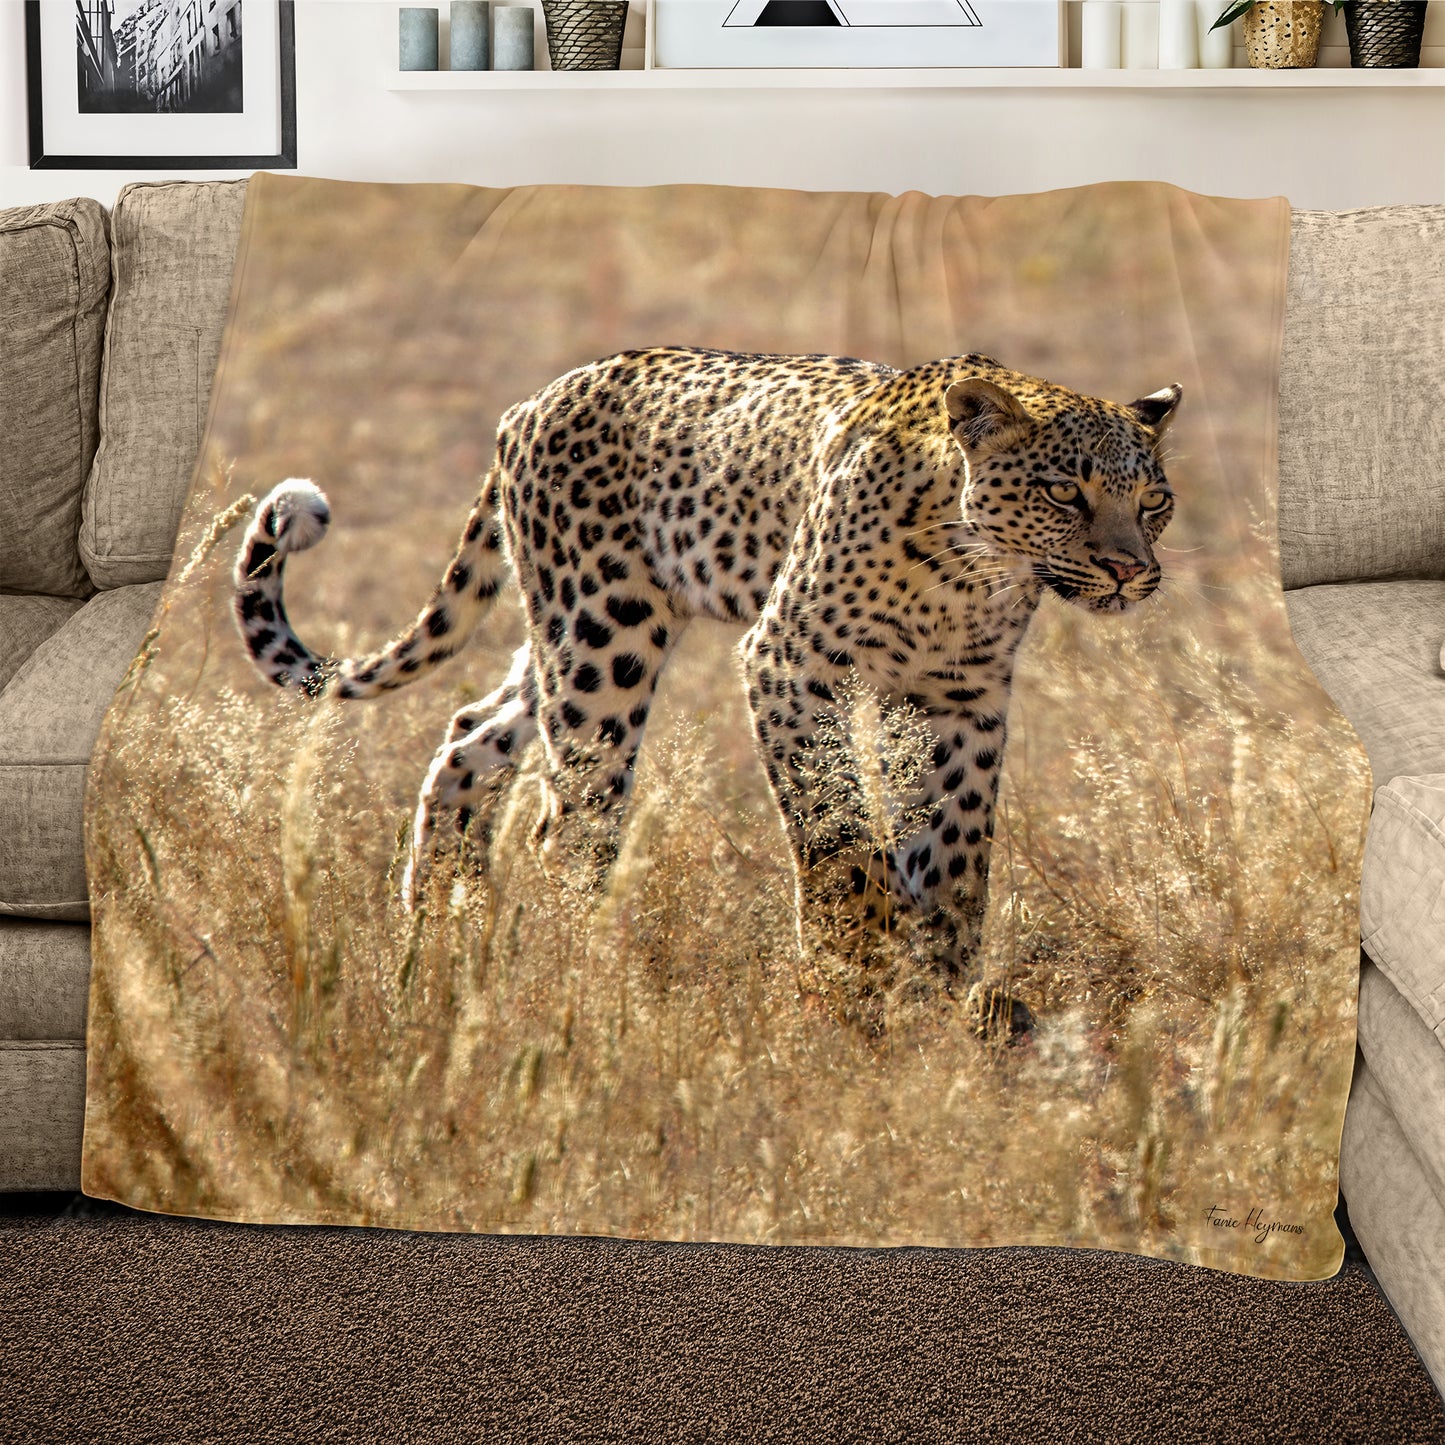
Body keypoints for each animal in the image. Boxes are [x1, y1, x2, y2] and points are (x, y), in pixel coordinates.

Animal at [234, 345, 1181, 1035]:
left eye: (1153, 500)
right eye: (1062, 492)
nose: (1130, 570)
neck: (969, 568)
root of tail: (531, 401)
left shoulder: (960, 697)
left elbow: (956, 845)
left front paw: (940, 974)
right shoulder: (791, 663)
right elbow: (836, 827)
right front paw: (856, 961)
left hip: (565, 638)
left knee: (471, 732)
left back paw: (437, 925)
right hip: (602, 637)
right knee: (568, 818)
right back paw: (576, 963)